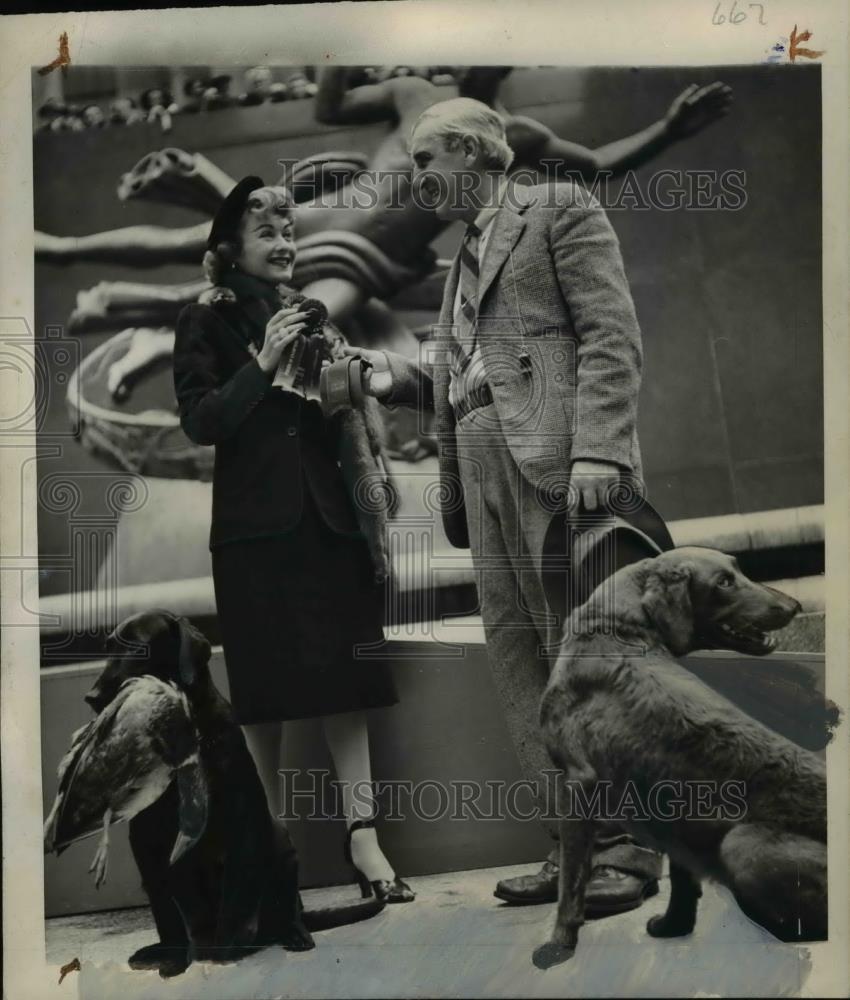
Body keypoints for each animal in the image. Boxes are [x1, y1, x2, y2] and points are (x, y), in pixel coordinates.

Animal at [84, 608, 382, 976]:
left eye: (136, 647)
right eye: (108, 647)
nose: (92, 697)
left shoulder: (241, 826)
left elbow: (234, 901)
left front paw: (224, 951)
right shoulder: (157, 842)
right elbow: (180, 913)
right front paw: (185, 957)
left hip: (281, 846)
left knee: (287, 909)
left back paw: (292, 934)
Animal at [532, 548, 824, 968]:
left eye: (735, 573)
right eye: (724, 580)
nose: (793, 606)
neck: (615, 630)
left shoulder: (576, 787)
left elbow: (570, 886)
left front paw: (558, 947)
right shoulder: (672, 805)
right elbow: (683, 880)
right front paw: (674, 927)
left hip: (742, 844)